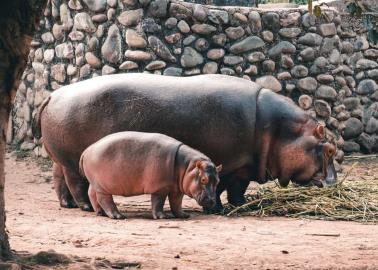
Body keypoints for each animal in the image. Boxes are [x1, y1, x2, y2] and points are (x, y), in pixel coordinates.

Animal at [79, 131, 221, 219]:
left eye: (218, 180)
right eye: (203, 179)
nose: (212, 201)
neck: (187, 166)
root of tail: (86, 150)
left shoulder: (177, 189)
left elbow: (176, 202)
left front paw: (183, 215)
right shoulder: (160, 188)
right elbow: (158, 202)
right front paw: (163, 217)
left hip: (94, 182)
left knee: (92, 193)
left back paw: (100, 213)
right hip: (103, 186)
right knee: (104, 199)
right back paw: (118, 216)